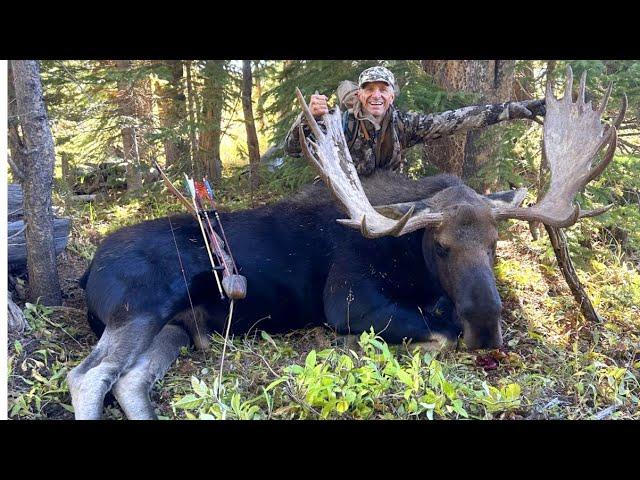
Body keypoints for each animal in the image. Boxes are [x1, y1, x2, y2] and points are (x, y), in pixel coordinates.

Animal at [70, 68, 624, 420]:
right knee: (89, 375)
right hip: (140, 303)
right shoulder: (347, 300)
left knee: (129, 380)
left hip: (176, 327)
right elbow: (438, 334)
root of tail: (87, 270)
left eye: (495, 243)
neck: (408, 260)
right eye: (440, 246)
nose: (487, 326)